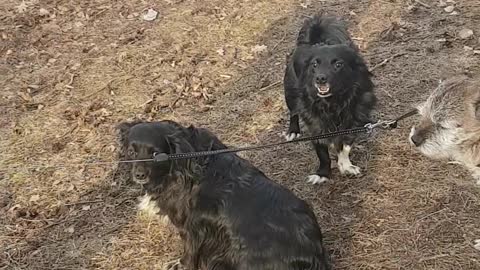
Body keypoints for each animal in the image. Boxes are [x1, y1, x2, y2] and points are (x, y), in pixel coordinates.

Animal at [118, 120, 332, 270]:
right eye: (131, 151)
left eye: (156, 155)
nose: (139, 175)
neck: (183, 159)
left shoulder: (191, 227)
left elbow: (189, 252)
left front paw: (180, 264)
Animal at [284, 13, 376, 185]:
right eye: (314, 64)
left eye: (338, 64)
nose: (320, 79)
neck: (333, 102)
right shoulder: (315, 125)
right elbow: (322, 153)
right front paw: (322, 174)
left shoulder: (353, 119)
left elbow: (345, 145)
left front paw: (345, 165)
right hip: (289, 93)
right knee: (293, 112)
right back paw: (292, 131)